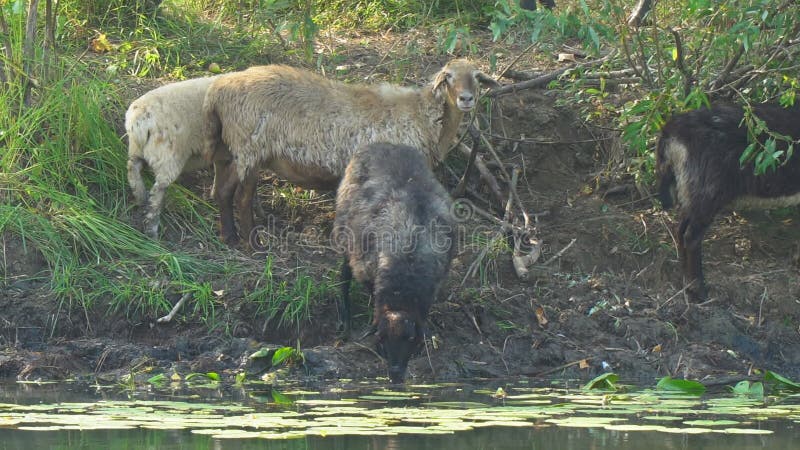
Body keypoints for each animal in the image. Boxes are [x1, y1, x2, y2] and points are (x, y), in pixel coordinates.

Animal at [203, 59, 496, 246]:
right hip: (249, 147)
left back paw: (229, 237)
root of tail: (218, 91)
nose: (466, 99)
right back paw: (254, 243)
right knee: (241, 197)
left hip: (234, 149)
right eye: (448, 77)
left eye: (477, 77)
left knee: (222, 191)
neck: (424, 116)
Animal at [332, 142, 456, 382]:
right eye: (382, 340)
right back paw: (345, 323)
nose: (396, 374)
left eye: (410, 340)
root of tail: (383, 144)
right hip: (345, 233)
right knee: (343, 276)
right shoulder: (366, 269)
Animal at [656, 100, 800, 300]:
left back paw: (686, 285)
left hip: (692, 191)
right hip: (708, 192)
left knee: (680, 231)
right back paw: (698, 290)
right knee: (691, 237)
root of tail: (672, 130)